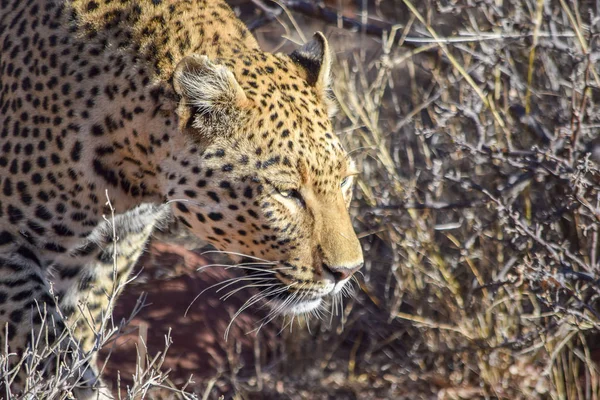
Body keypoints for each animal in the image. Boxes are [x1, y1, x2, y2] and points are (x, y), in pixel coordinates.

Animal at [0, 0, 364, 396]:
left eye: (345, 181)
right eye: (286, 193)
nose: (348, 271)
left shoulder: (113, 243)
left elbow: (78, 323)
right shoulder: (10, 245)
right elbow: (42, 340)